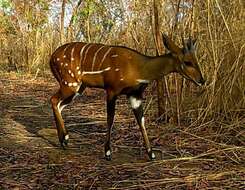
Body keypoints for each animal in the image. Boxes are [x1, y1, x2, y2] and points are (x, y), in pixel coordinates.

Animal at [49, 34, 205, 160]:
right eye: (187, 62)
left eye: (197, 60)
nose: (202, 80)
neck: (139, 69)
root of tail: (51, 57)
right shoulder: (112, 90)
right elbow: (110, 119)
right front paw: (108, 152)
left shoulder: (135, 95)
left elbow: (141, 120)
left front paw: (151, 154)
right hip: (70, 83)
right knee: (53, 100)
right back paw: (65, 139)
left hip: (78, 88)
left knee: (59, 104)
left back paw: (64, 140)